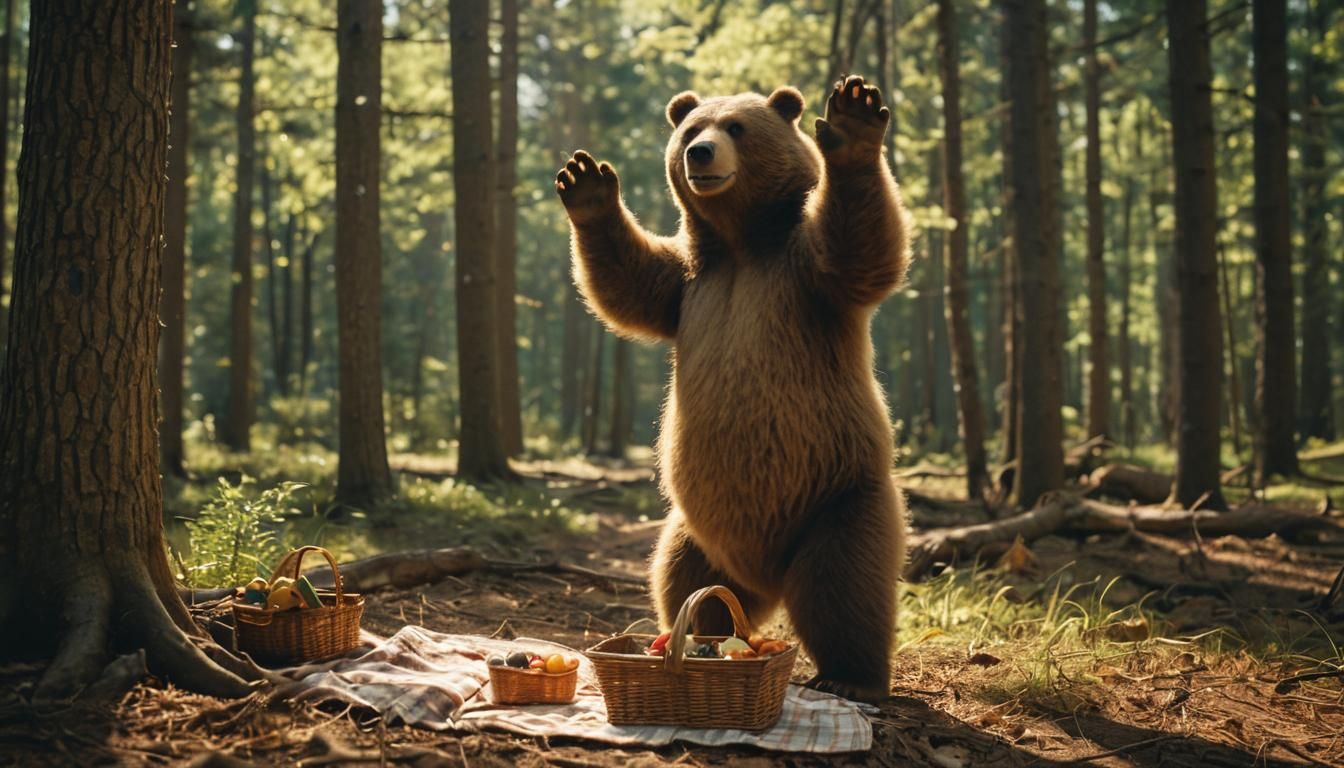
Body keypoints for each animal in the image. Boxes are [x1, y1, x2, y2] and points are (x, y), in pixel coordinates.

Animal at [555, 75, 909, 703]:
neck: (742, 244)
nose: (700, 154)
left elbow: (860, 253)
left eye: (737, 127)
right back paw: (704, 636)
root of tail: (763, 576)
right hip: (697, 527)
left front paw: (852, 120)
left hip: (838, 494)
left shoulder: (801, 276)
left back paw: (850, 676)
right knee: (680, 577)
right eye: (692, 129)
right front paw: (588, 183)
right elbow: (627, 282)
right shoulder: (687, 285)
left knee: (844, 584)